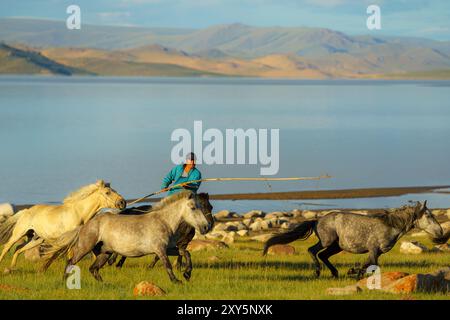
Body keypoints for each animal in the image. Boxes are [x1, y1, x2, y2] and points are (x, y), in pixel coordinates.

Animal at [41, 190, 211, 282]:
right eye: (193, 207)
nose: (205, 227)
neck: (164, 222)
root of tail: (86, 225)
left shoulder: (167, 248)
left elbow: (186, 252)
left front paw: (187, 274)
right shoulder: (160, 250)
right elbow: (168, 265)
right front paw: (177, 281)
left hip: (104, 253)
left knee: (93, 269)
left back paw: (104, 284)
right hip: (85, 248)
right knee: (71, 262)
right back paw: (65, 281)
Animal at [262, 201, 444, 278]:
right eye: (428, 215)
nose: (440, 231)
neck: (390, 225)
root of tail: (317, 220)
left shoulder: (376, 252)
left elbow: (369, 265)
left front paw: (355, 272)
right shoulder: (374, 249)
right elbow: (372, 265)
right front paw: (354, 272)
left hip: (337, 246)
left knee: (323, 255)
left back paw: (335, 273)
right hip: (327, 241)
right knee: (312, 251)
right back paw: (318, 271)